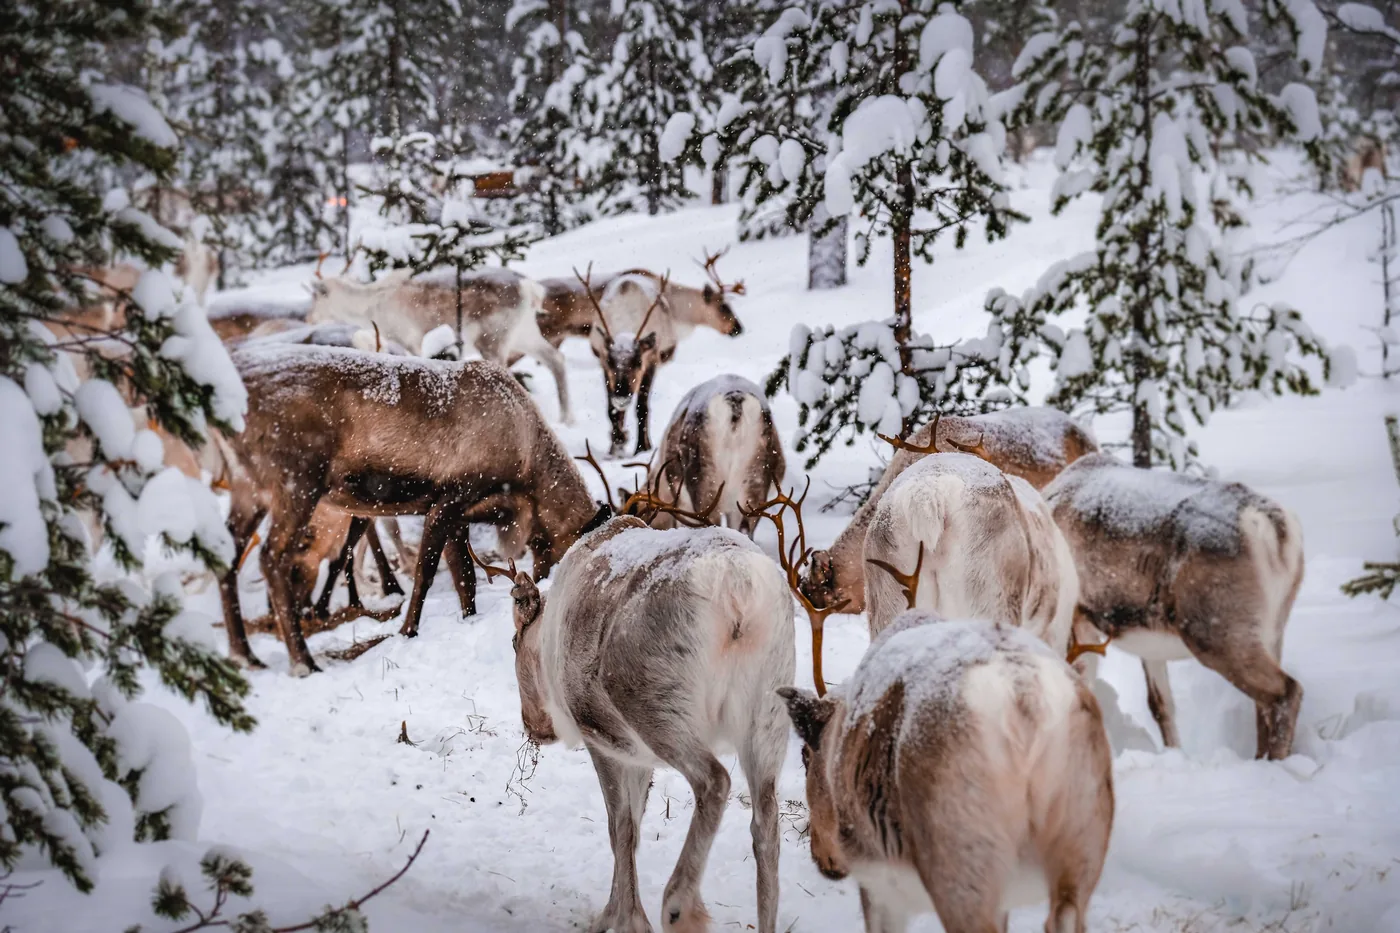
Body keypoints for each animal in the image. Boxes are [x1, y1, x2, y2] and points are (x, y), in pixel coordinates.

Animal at [215, 343, 608, 674]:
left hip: (249, 488)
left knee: (228, 556)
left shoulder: (460, 515)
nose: (541, 587)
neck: (527, 465)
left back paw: (244, 654)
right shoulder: (450, 498)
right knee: (272, 558)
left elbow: (464, 576)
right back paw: (303, 661)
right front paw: (407, 630)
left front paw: (467, 618)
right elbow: (426, 573)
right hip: (297, 483)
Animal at [306, 266, 574, 423]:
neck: (368, 307)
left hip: (494, 339)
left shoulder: (411, 339)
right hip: (525, 333)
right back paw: (566, 418)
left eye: (316, 296)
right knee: (556, 359)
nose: (309, 318)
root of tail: (531, 288)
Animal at [503, 503, 794, 933]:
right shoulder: (640, 756)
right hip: (770, 708)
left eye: (513, 642)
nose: (532, 726)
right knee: (767, 821)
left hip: (654, 703)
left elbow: (619, 828)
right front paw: (616, 911)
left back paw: (678, 904)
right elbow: (635, 828)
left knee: (714, 781)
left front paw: (624, 918)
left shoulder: (604, 739)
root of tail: (736, 590)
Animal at [778, 602, 1114, 933]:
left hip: (961, 862)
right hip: (1081, 844)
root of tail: (1023, 694)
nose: (824, 860)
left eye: (805, 755)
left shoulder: (878, 882)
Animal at [1043, 453, 1307, 760]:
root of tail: (1273, 526)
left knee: (1284, 693)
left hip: (1216, 634)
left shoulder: (1075, 618)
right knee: (1262, 704)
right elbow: (1160, 705)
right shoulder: (1147, 645)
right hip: (1272, 630)